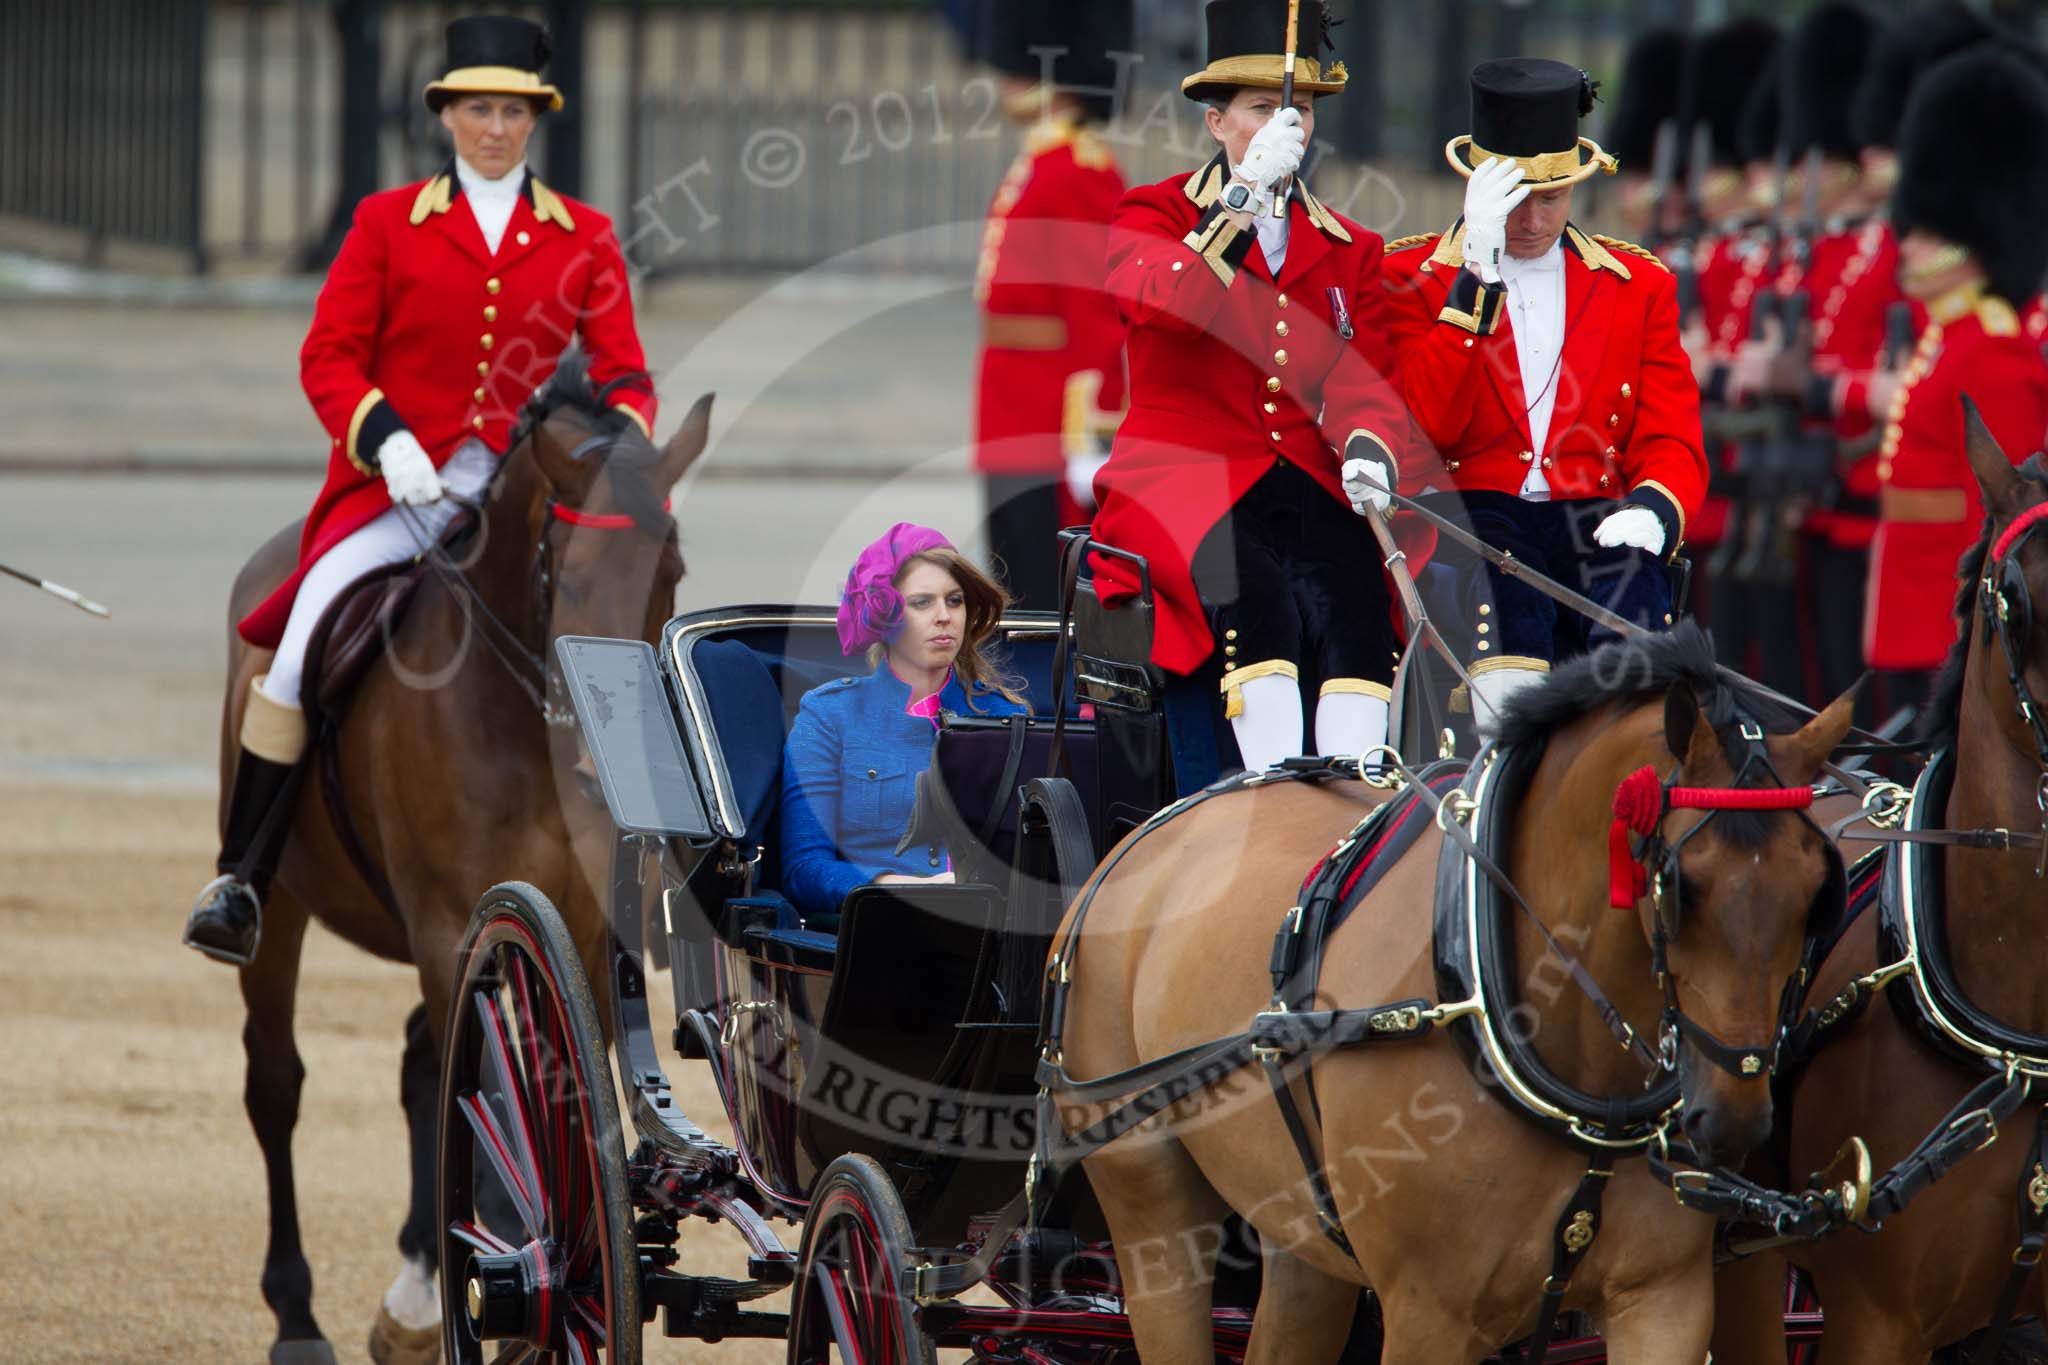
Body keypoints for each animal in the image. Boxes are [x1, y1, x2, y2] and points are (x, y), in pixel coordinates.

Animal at [217, 356, 712, 1365]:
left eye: (671, 570)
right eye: (572, 574)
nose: (616, 756)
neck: (526, 719)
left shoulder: (578, 931)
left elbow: (558, 1095)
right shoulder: (452, 925)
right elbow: (494, 1092)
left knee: (422, 1064)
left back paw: (414, 1295)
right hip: (281, 905)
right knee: (277, 1081)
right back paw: (299, 1313)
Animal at [1056, 630, 1859, 1365]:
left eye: (1818, 891)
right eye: (1679, 885)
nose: (1733, 1120)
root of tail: (1148, 833)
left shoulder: (1664, 1301)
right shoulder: (1428, 1316)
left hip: (1301, 1233)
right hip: (1152, 1215)